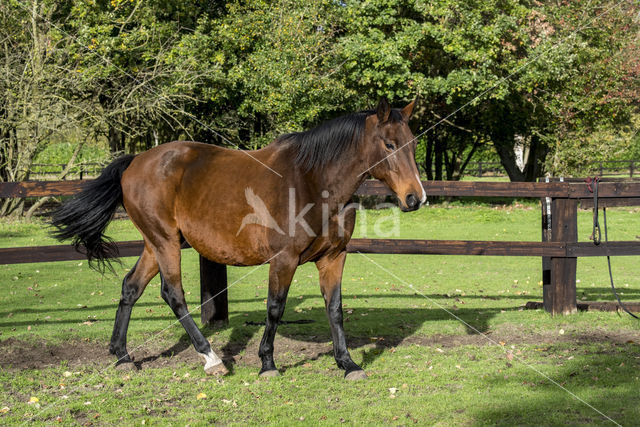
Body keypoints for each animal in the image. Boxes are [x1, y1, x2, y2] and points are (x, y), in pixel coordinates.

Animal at [51, 98, 424, 380]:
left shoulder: (334, 258)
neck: (313, 181)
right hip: (166, 243)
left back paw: (122, 355)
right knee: (173, 294)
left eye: (414, 143)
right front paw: (267, 364)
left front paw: (348, 364)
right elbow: (275, 307)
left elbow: (334, 309)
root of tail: (135, 162)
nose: (415, 198)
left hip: (153, 245)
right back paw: (211, 359)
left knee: (131, 287)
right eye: (389, 144)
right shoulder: (284, 260)